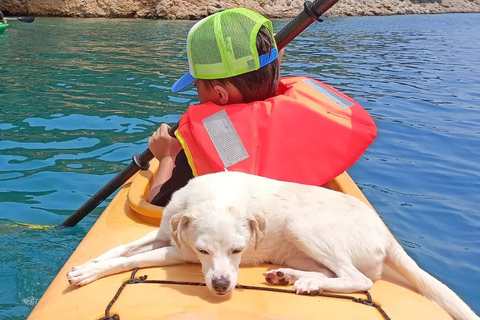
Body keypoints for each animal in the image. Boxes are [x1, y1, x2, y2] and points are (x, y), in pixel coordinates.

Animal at [66, 171, 476, 318]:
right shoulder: (167, 232)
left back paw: (307, 283)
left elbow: (122, 262)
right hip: (301, 247)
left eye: (237, 251)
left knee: (359, 279)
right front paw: (86, 265)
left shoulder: (175, 250)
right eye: (204, 251)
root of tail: (386, 234)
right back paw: (290, 277)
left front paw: (89, 274)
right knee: (333, 272)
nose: (221, 286)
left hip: (302, 225)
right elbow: (118, 251)